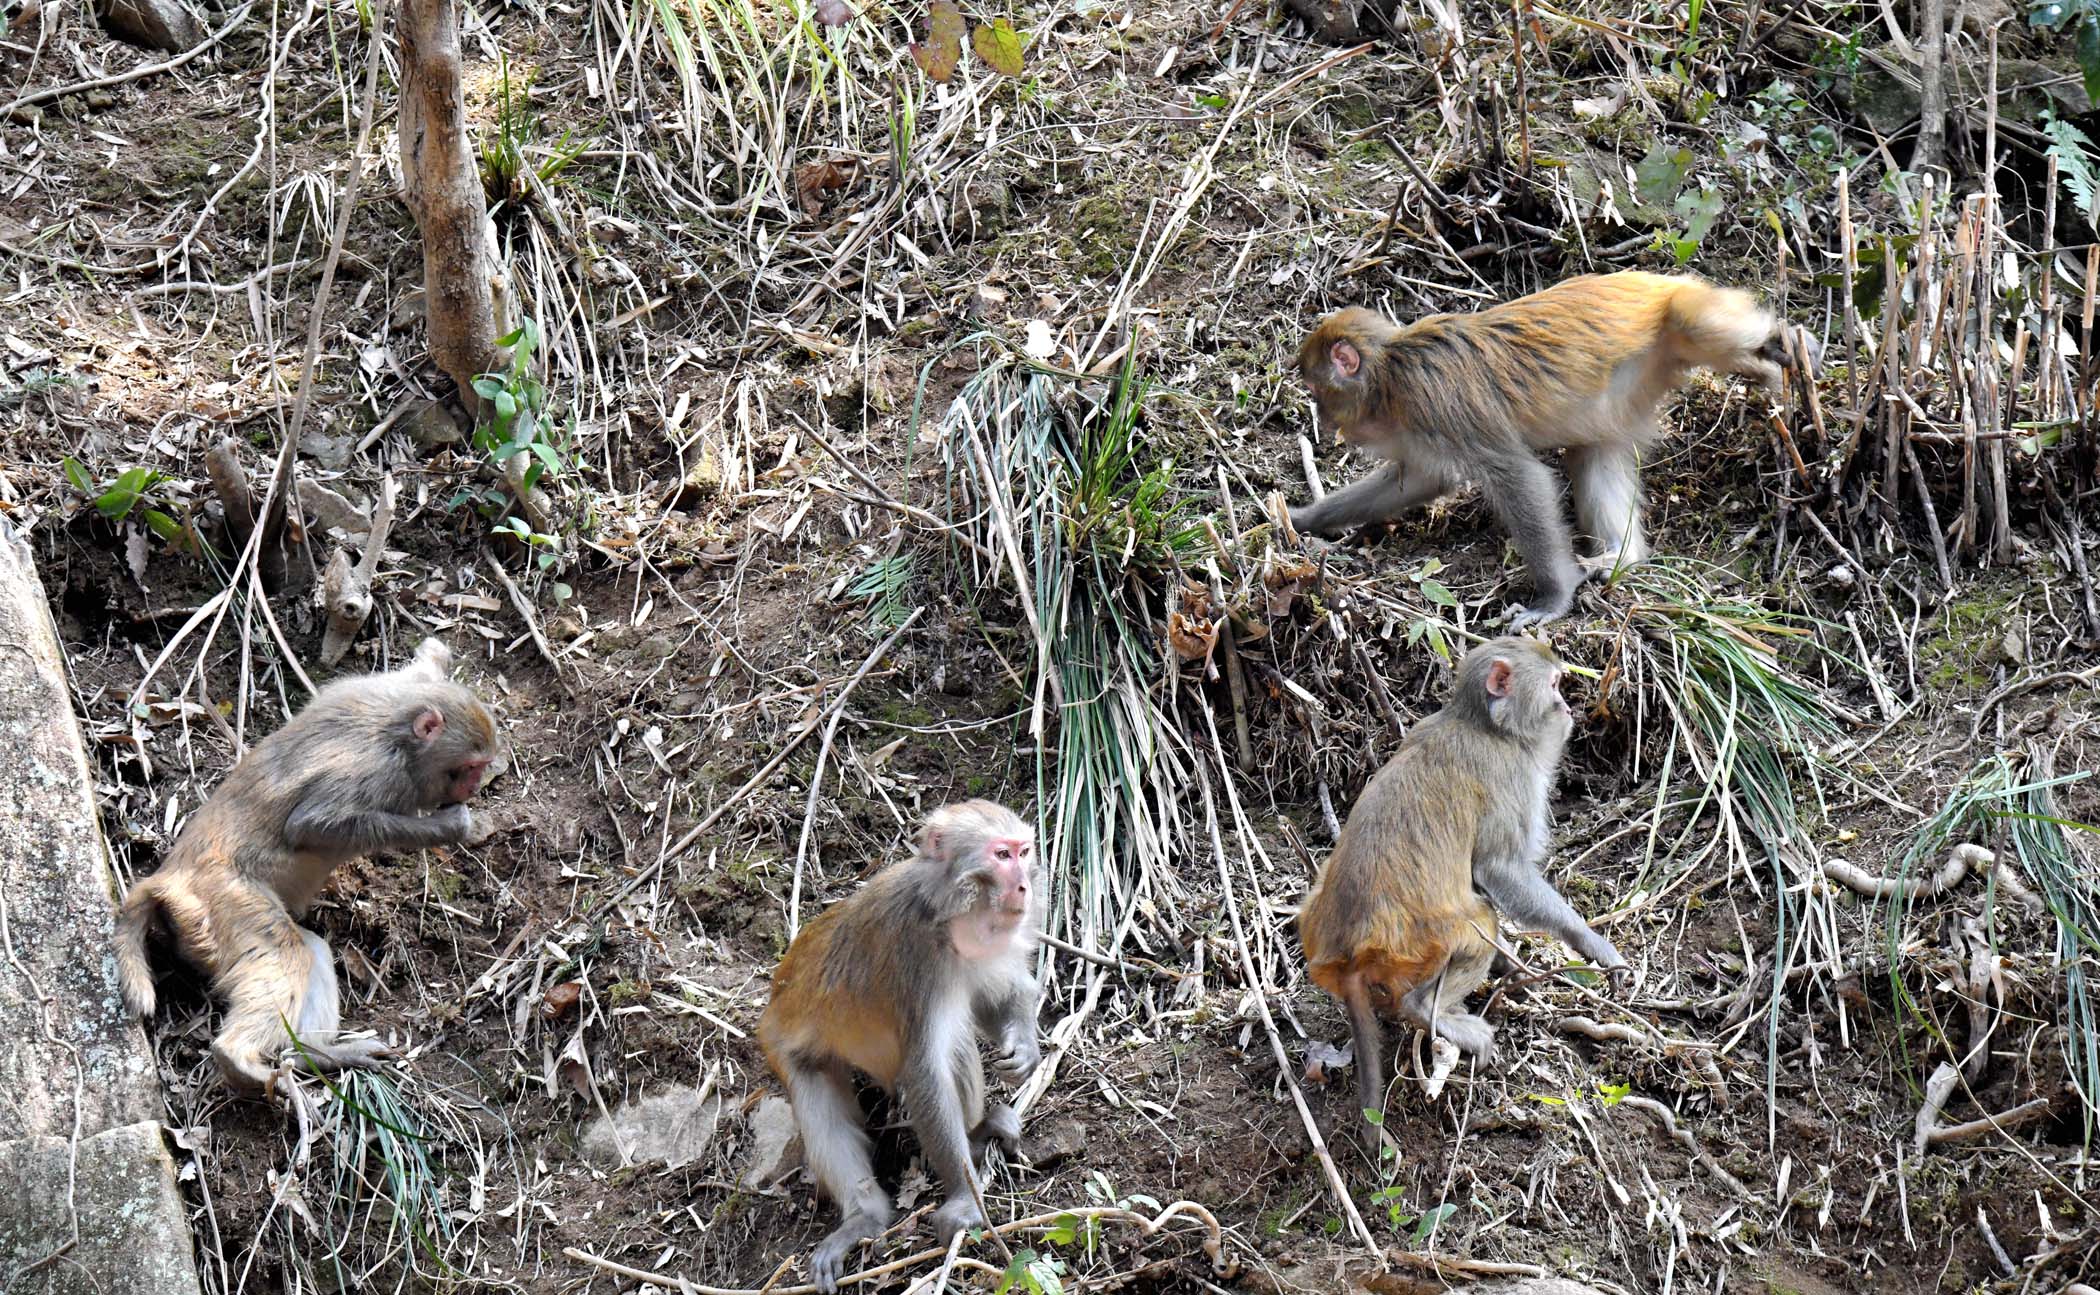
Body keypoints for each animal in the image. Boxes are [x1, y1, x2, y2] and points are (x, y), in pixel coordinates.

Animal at [118, 638, 499, 1091]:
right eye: (469, 768)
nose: (474, 788)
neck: (400, 735)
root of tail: (170, 877)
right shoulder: (373, 771)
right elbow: (311, 824)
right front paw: (448, 826)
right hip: (222, 899)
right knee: (285, 952)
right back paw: (239, 1060)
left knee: (311, 950)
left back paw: (312, 1055)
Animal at [760, 801, 1045, 1284]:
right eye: (1001, 855)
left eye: (1023, 852)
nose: (1024, 884)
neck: (947, 913)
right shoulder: (914, 959)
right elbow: (925, 1071)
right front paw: (964, 1198)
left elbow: (999, 996)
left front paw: (1025, 1048)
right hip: (785, 1045)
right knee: (825, 1107)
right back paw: (865, 1215)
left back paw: (979, 1133)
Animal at [1285, 270, 1814, 625]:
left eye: (1315, 390)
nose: (1326, 422)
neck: (1390, 374)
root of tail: (1655, 275)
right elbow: (1420, 479)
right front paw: (1300, 518)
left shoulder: (1435, 400)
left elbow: (1519, 477)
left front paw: (1552, 600)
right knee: (1593, 451)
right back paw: (1621, 559)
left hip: (1680, 309)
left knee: (1702, 326)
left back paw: (1790, 342)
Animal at [1293, 629, 1621, 1116]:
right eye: (1554, 685)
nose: (1566, 707)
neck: (1481, 722)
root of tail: (1347, 950)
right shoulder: (1511, 774)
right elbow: (1500, 870)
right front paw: (1592, 943)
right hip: (1420, 943)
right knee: (1477, 920)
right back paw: (1429, 1011)